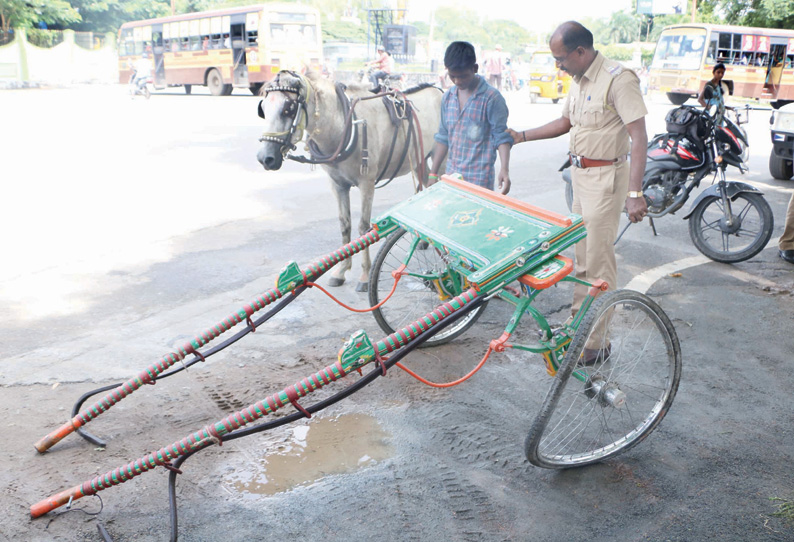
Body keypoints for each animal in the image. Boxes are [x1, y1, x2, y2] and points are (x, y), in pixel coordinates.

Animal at [255, 72, 442, 294]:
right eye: (263, 109)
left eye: (288, 109)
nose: (265, 158)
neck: (343, 125)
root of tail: (439, 90)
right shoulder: (337, 185)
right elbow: (345, 225)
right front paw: (341, 270)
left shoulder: (367, 183)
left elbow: (363, 228)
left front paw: (364, 275)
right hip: (419, 159)